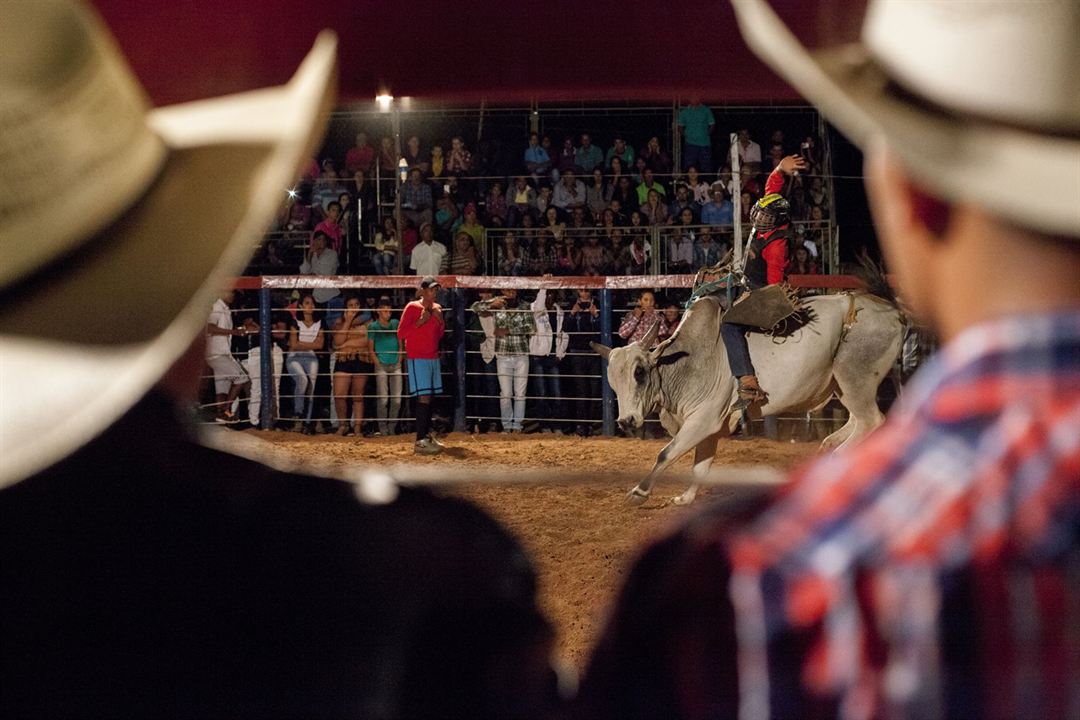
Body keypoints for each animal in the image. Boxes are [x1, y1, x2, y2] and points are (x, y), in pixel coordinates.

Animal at [596, 293, 907, 507]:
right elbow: (701, 464)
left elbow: (667, 453)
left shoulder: (703, 420)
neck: (686, 362)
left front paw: (639, 492)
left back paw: (837, 456)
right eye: (612, 382)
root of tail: (892, 312)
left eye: (639, 373)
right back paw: (832, 448)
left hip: (854, 374)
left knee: (871, 420)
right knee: (858, 419)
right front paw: (686, 497)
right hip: (845, 384)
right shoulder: (710, 427)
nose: (626, 421)